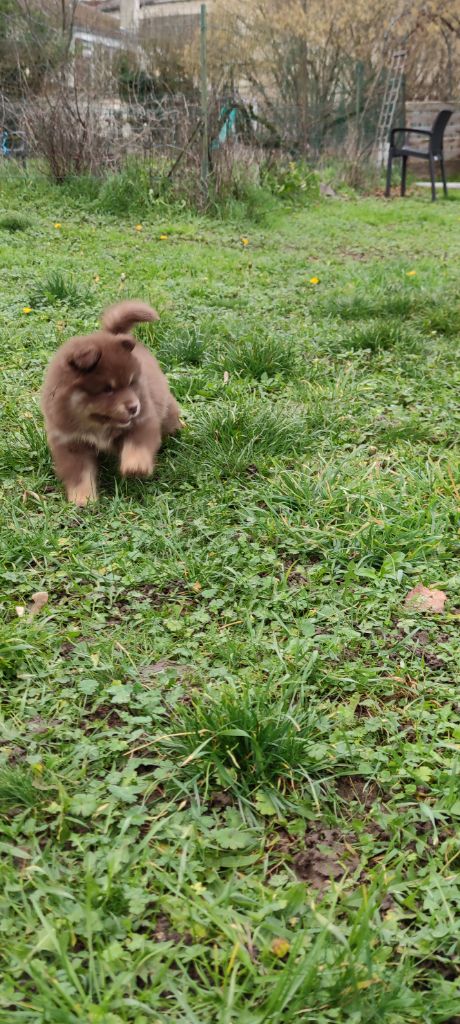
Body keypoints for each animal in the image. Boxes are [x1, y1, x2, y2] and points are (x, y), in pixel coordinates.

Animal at [41, 300, 181, 505]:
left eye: (131, 383)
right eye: (107, 389)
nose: (134, 407)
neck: (97, 425)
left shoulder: (144, 419)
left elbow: (138, 444)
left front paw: (136, 466)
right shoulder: (70, 441)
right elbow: (79, 473)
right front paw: (82, 499)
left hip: (166, 407)